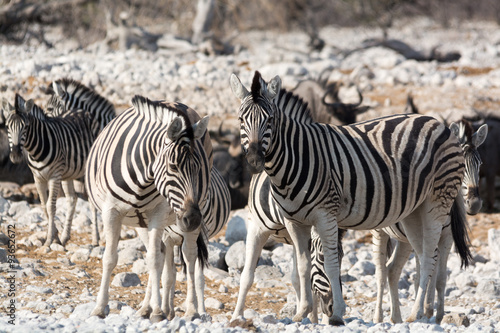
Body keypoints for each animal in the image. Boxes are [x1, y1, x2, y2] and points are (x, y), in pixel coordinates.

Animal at [1, 93, 95, 246]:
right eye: (7, 127)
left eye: (26, 127)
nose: (15, 156)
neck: (36, 151)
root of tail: (82, 110)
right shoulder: (38, 178)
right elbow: (44, 206)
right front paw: (56, 237)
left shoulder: (54, 176)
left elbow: (51, 206)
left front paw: (49, 240)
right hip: (68, 174)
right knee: (72, 199)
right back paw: (65, 237)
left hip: (88, 169)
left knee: (92, 201)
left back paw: (96, 239)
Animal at [83, 94, 211, 320]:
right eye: (173, 167)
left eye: (198, 169)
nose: (193, 219)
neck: (143, 177)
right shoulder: (111, 212)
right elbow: (110, 258)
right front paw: (99, 308)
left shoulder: (158, 215)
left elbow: (154, 261)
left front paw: (158, 311)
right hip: (141, 223)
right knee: (161, 255)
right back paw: (146, 308)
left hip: (192, 212)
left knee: (189, 256)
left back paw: (190, 310)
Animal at [230, 71, 472, 322]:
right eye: (241, 121)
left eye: (270, 121)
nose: (255, 160)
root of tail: (440, 124)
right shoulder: (293, 222)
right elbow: (302, 267)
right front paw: (301, 313)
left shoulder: (325, 216)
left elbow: (331, 266)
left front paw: (337, 313)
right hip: (413, 212)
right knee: (423, 255)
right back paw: (422, 313)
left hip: (437, 201)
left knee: (430, 257)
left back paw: (417, 313)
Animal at [374, 118, 486, 322]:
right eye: (460, 164)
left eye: (479, 163)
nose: (474, 204)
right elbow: (426, 274)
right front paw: (425, 311)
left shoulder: (446, 238)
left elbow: (439, 278)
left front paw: (435, 313)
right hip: (379, 232)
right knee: (381, 271)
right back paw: (378, 318)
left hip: (405, 240)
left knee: (392, 269)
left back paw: (396, 318)